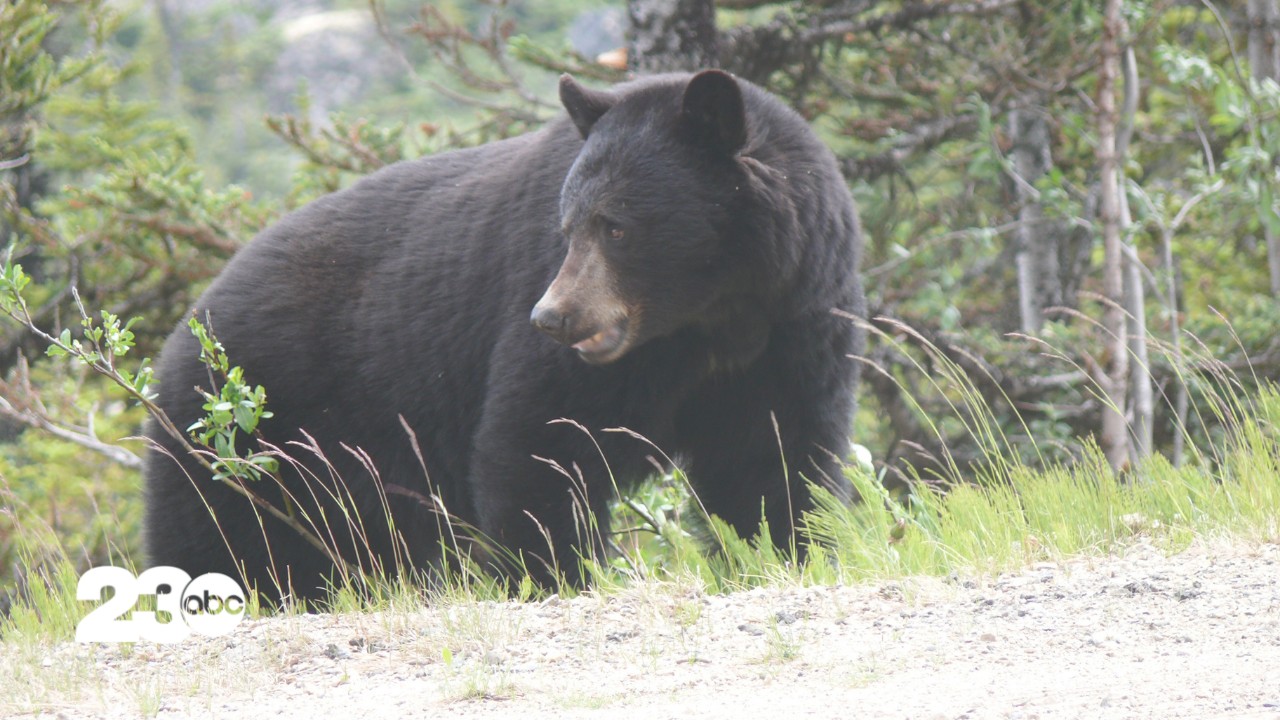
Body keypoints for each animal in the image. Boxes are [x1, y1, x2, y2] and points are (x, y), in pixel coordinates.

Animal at [143, 70, 865, 603]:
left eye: (617, 225)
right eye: (567, 225)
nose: (551, 317)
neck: (710, 320)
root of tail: (184, 330)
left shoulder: (793, 328)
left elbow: (773, 458)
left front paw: (784, 552)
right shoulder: (572, 352)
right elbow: (539, 444)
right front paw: (552, 575)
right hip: (242, 433)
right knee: (218, 538)